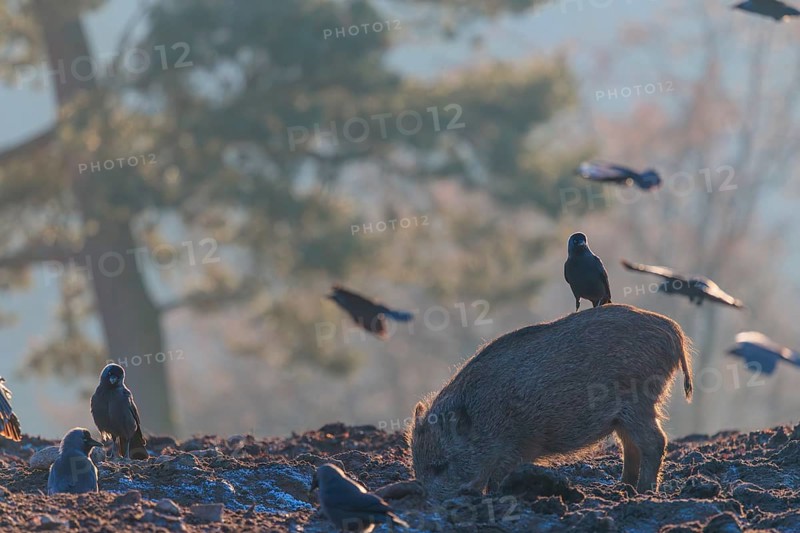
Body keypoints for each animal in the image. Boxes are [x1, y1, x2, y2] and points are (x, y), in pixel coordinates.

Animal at [409, 304, 693, 499]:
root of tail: (675, 333)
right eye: (418, 466)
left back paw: (644, 491)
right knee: (631, 446)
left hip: (639, 403)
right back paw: (622, 488)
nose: (428, 501)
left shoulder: (516, 446)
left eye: (441, 466)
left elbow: (499, 476)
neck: (486, 419)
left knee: (655, 442)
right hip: (623, 416)